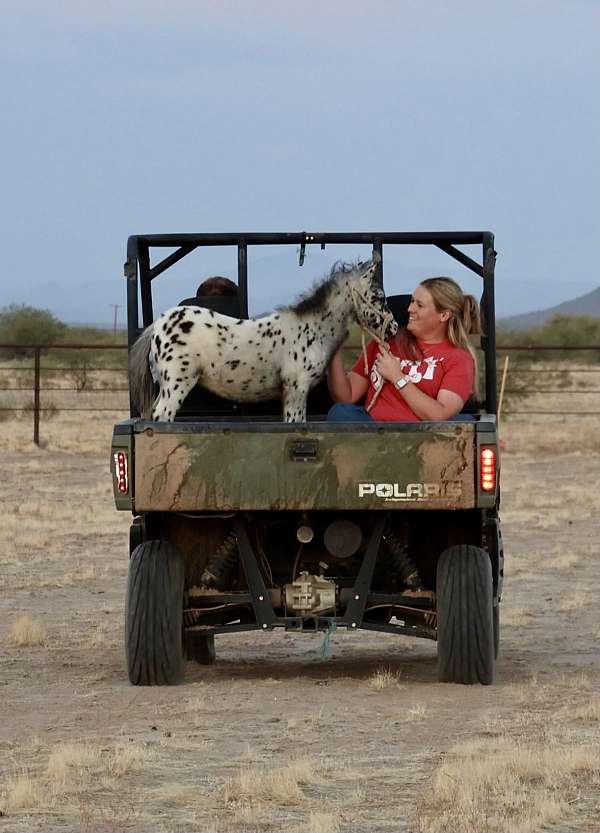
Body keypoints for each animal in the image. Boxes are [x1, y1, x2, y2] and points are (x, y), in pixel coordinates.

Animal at [129, 260, 396, 422]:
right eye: (379, 297)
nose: (393, 329)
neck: (309, 329)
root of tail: (158, 325)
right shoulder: (296, 389)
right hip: (176, 385)